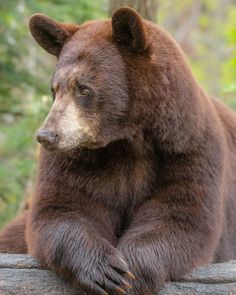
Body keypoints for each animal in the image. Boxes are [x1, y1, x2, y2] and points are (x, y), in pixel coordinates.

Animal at [0, 6, 236, 295]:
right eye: (55, 89)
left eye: (84, 88)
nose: (46, 136)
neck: (127, 141)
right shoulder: (74, 160)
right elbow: (62, 208)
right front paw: (104, 270)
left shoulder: (189, 146)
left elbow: (182, 215)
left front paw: (130, 274)